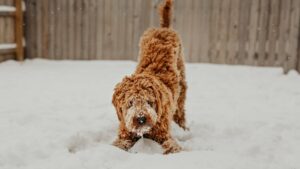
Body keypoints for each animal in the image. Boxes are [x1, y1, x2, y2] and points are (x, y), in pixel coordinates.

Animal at [112, 0, 188, 154]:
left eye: (149, 101)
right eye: (130, 102)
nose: (141, 119)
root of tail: (163, 28)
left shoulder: (163, 134)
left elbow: (172, 145)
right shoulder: (125, 131)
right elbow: (119, 144)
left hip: (182, 84)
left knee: (180, 109)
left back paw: (183, 127)